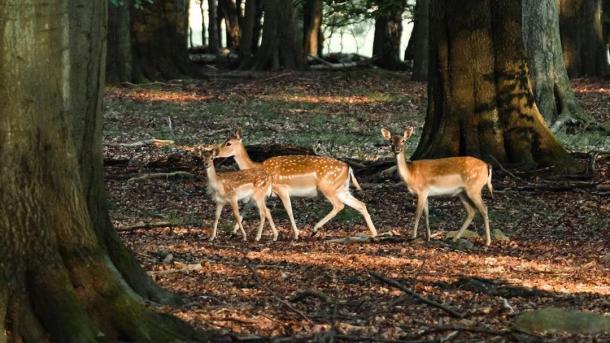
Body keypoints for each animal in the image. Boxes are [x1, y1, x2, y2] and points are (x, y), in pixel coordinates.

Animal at [214, 127, 376, 241]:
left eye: (228, 143)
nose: (215, 152)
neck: (257, 167)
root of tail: (349, 168)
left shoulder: (280, 188)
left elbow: (289, 210)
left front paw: (296, 234)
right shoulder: (260, 193)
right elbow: (246, 209)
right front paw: (233, 232)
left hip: (327, 187)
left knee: (339, 205)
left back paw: (314, 229)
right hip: (342, 189)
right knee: (361, 204)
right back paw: (374, 234)